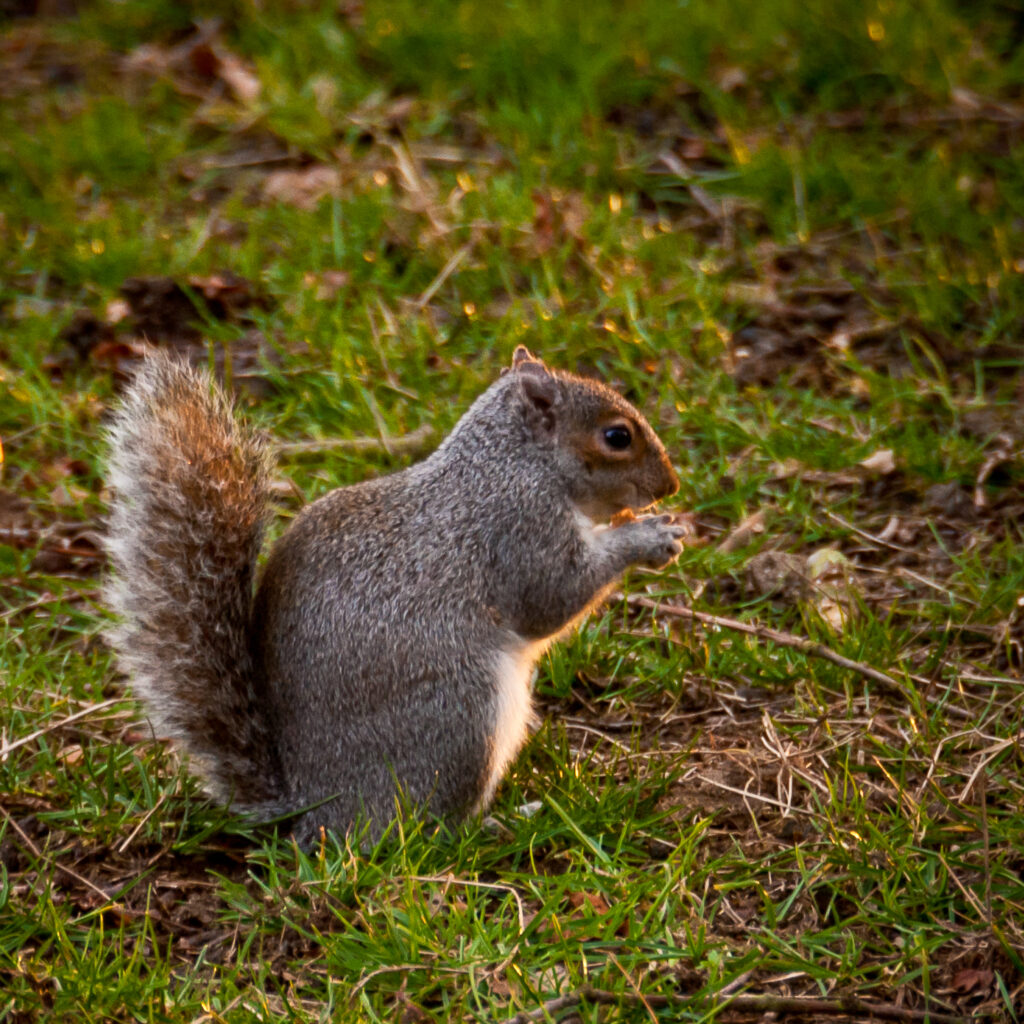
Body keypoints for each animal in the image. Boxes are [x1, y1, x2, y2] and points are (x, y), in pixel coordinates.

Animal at [104, 346, 685, 843]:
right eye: (617, 436)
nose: (671, 485)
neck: (515, 464)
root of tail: (315, 808)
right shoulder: (520, 528)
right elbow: (551, 598)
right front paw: (648, 537)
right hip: (461, 716)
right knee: (428, 829)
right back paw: (501, 824)